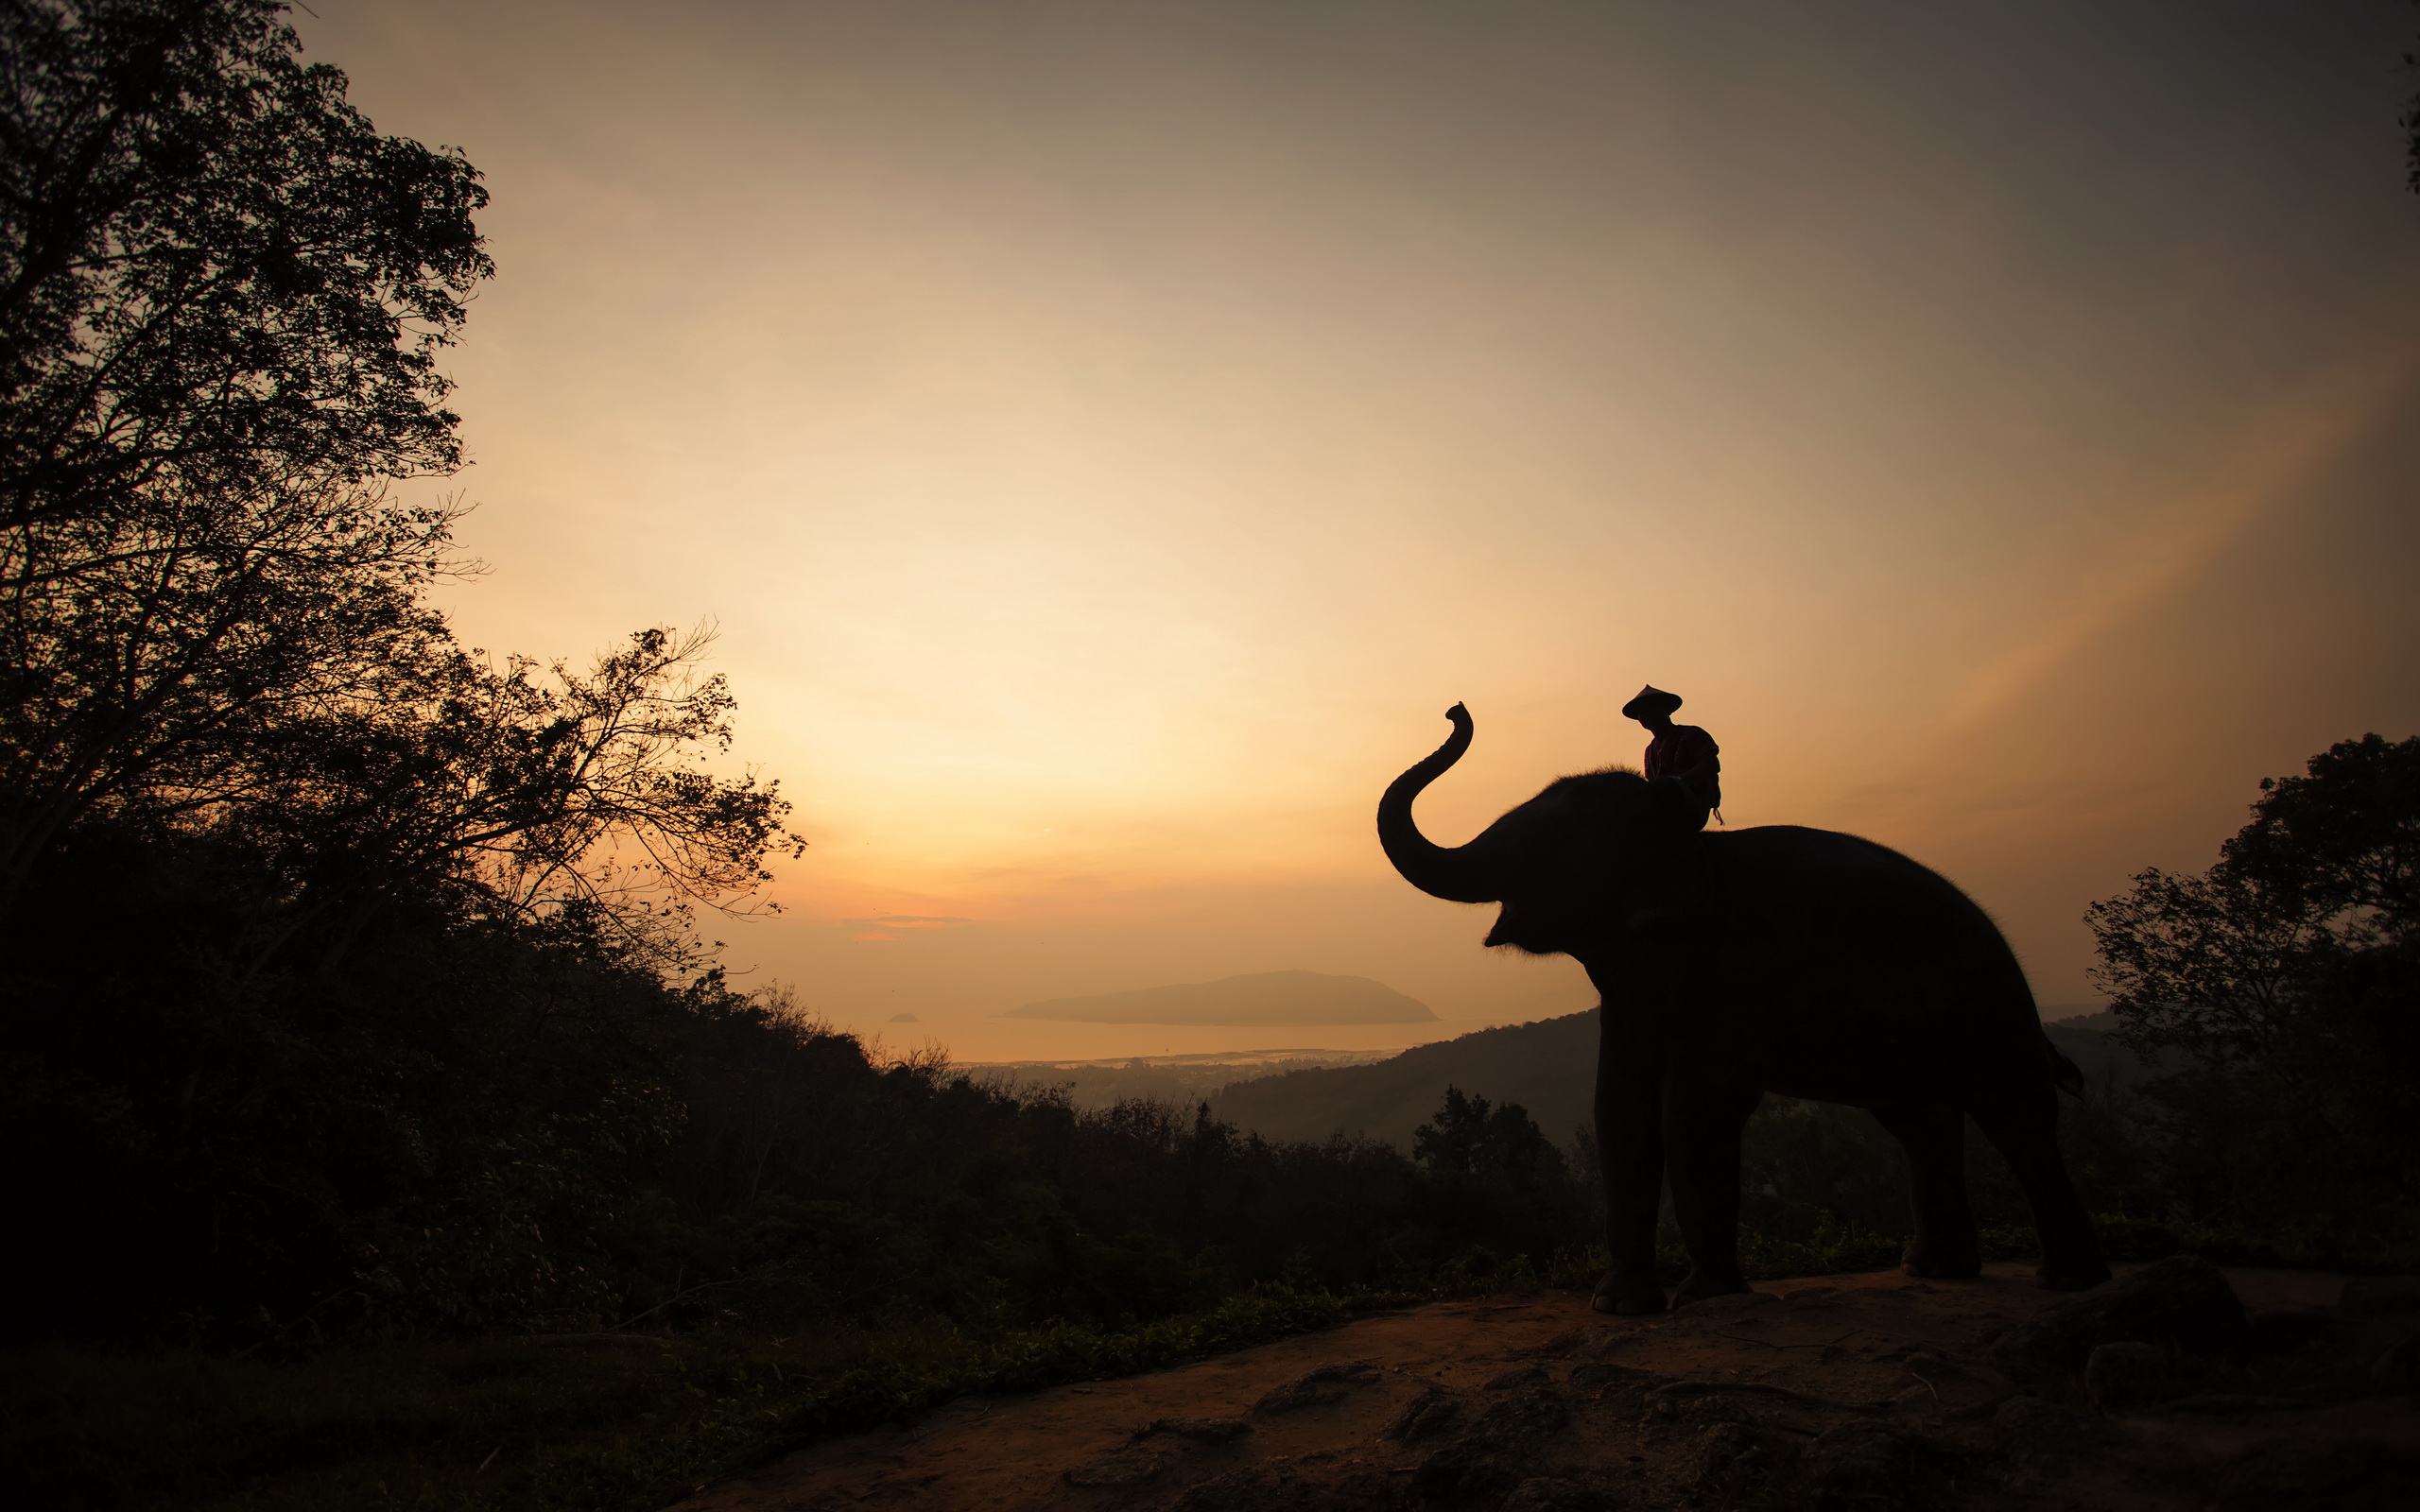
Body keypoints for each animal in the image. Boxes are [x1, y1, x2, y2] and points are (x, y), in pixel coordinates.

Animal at [1379, 704, 2110, 1314]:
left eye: (1552, 840)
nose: (1455, 710)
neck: (1684, 842)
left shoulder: (1732, 969)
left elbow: (1696, 1106)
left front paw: (1706, 1298)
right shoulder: (1634, 983)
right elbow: (1618, 1104)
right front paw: (1621, 1306)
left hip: (1987, 1002)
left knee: (2013, 1115)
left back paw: (2066, 1279)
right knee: (1920, 1119)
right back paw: (1935, 1269)